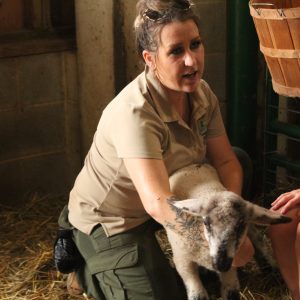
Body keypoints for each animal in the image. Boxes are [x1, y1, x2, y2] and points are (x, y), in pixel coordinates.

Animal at [166, 163, 290, 300]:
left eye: (241, 225)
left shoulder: (231, 268)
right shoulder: (183, 262)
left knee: (259, 240)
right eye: (206, 223)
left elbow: (231, 293)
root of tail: (190, 165)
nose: (221, 264)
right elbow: (197, 294)